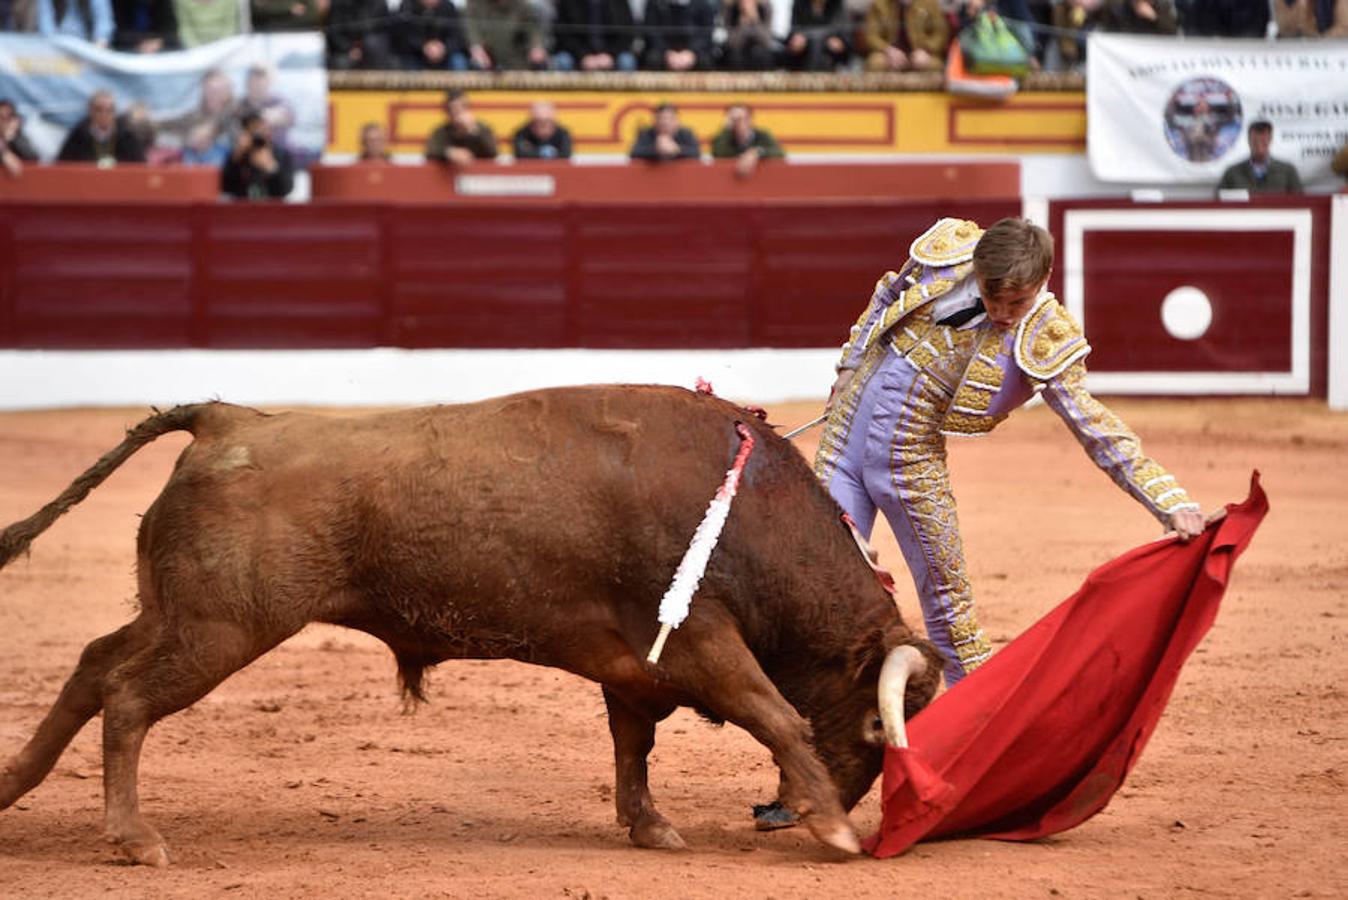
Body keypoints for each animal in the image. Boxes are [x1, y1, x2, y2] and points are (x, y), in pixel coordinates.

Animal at [0, 385, 943, 862]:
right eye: (877, 725)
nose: (788, 814)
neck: (745, 508)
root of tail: (225, 418)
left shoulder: (635, 666)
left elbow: (632, 746)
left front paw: (651, 827)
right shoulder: (701, 640)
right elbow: (776, 715)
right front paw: (833, 830)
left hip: (180, 614)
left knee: (93, 665)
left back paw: (14, 784)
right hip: (218, 628)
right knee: (126, 699)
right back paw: (134, 840)